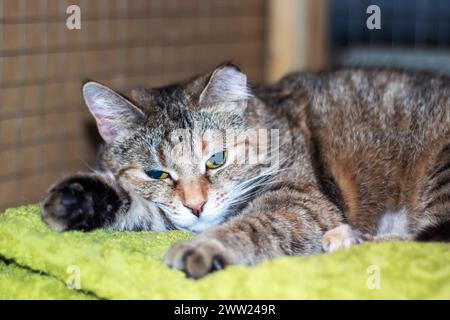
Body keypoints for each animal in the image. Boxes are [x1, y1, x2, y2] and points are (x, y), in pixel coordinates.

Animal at [42, 63, 450, 278]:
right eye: (157, 174)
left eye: (217, 159)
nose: (196, 205)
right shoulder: (166, 213)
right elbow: (141, 208)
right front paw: (77, 200)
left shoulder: (301, 203)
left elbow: (254, 225)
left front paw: (205, 247)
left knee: (430, 241)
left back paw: (346, 238)